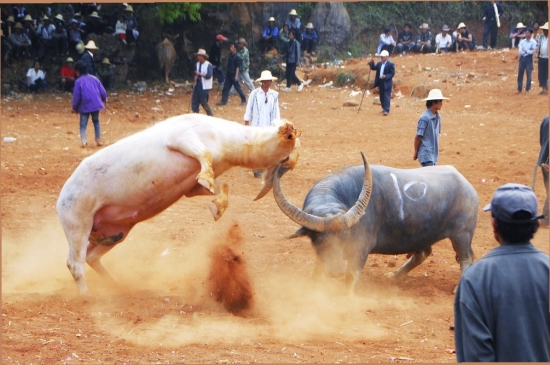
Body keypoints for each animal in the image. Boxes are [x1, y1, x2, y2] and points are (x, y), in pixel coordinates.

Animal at [57, 114, 302, 292]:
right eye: (291, 141)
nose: (289, 164)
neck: (228, 142)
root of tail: (60, 201)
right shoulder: (182, 139)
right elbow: (204, 154)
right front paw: (210, 185)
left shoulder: (191, 189)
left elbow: (218, 187)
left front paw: (217, 208)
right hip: (78, 223)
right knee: (74, 264)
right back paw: (87, 296)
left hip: (116, 232)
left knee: (90, 257)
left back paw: (117, 285)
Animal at [274, 152, 478, 292]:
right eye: (321, 240)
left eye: (346, 238)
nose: (336, 271)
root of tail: (468, 187)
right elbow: (318, 267)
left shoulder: (360, 250)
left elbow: (350, 278)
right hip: (423, 234)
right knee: (424, 253)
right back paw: (394, 275)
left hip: (461, 234)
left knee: (466, 258)